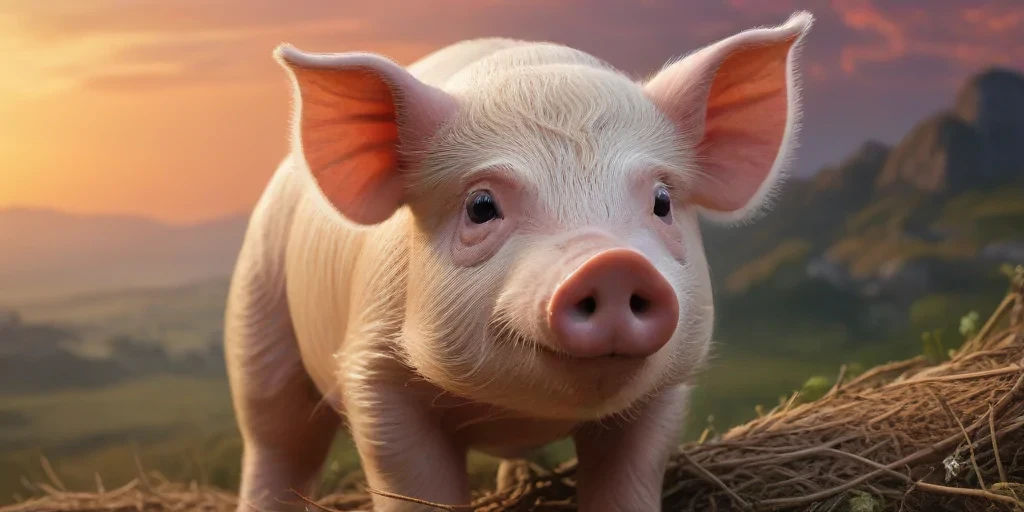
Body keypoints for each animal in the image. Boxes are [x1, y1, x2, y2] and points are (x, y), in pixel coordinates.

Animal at [224, 11, 813, 512]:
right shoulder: (374, 366)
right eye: (481, 206)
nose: (613, 263)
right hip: (258, 310)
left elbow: (629, 475)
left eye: (663, 202)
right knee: (276, 438)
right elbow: (412, 477)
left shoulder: (663, 392)